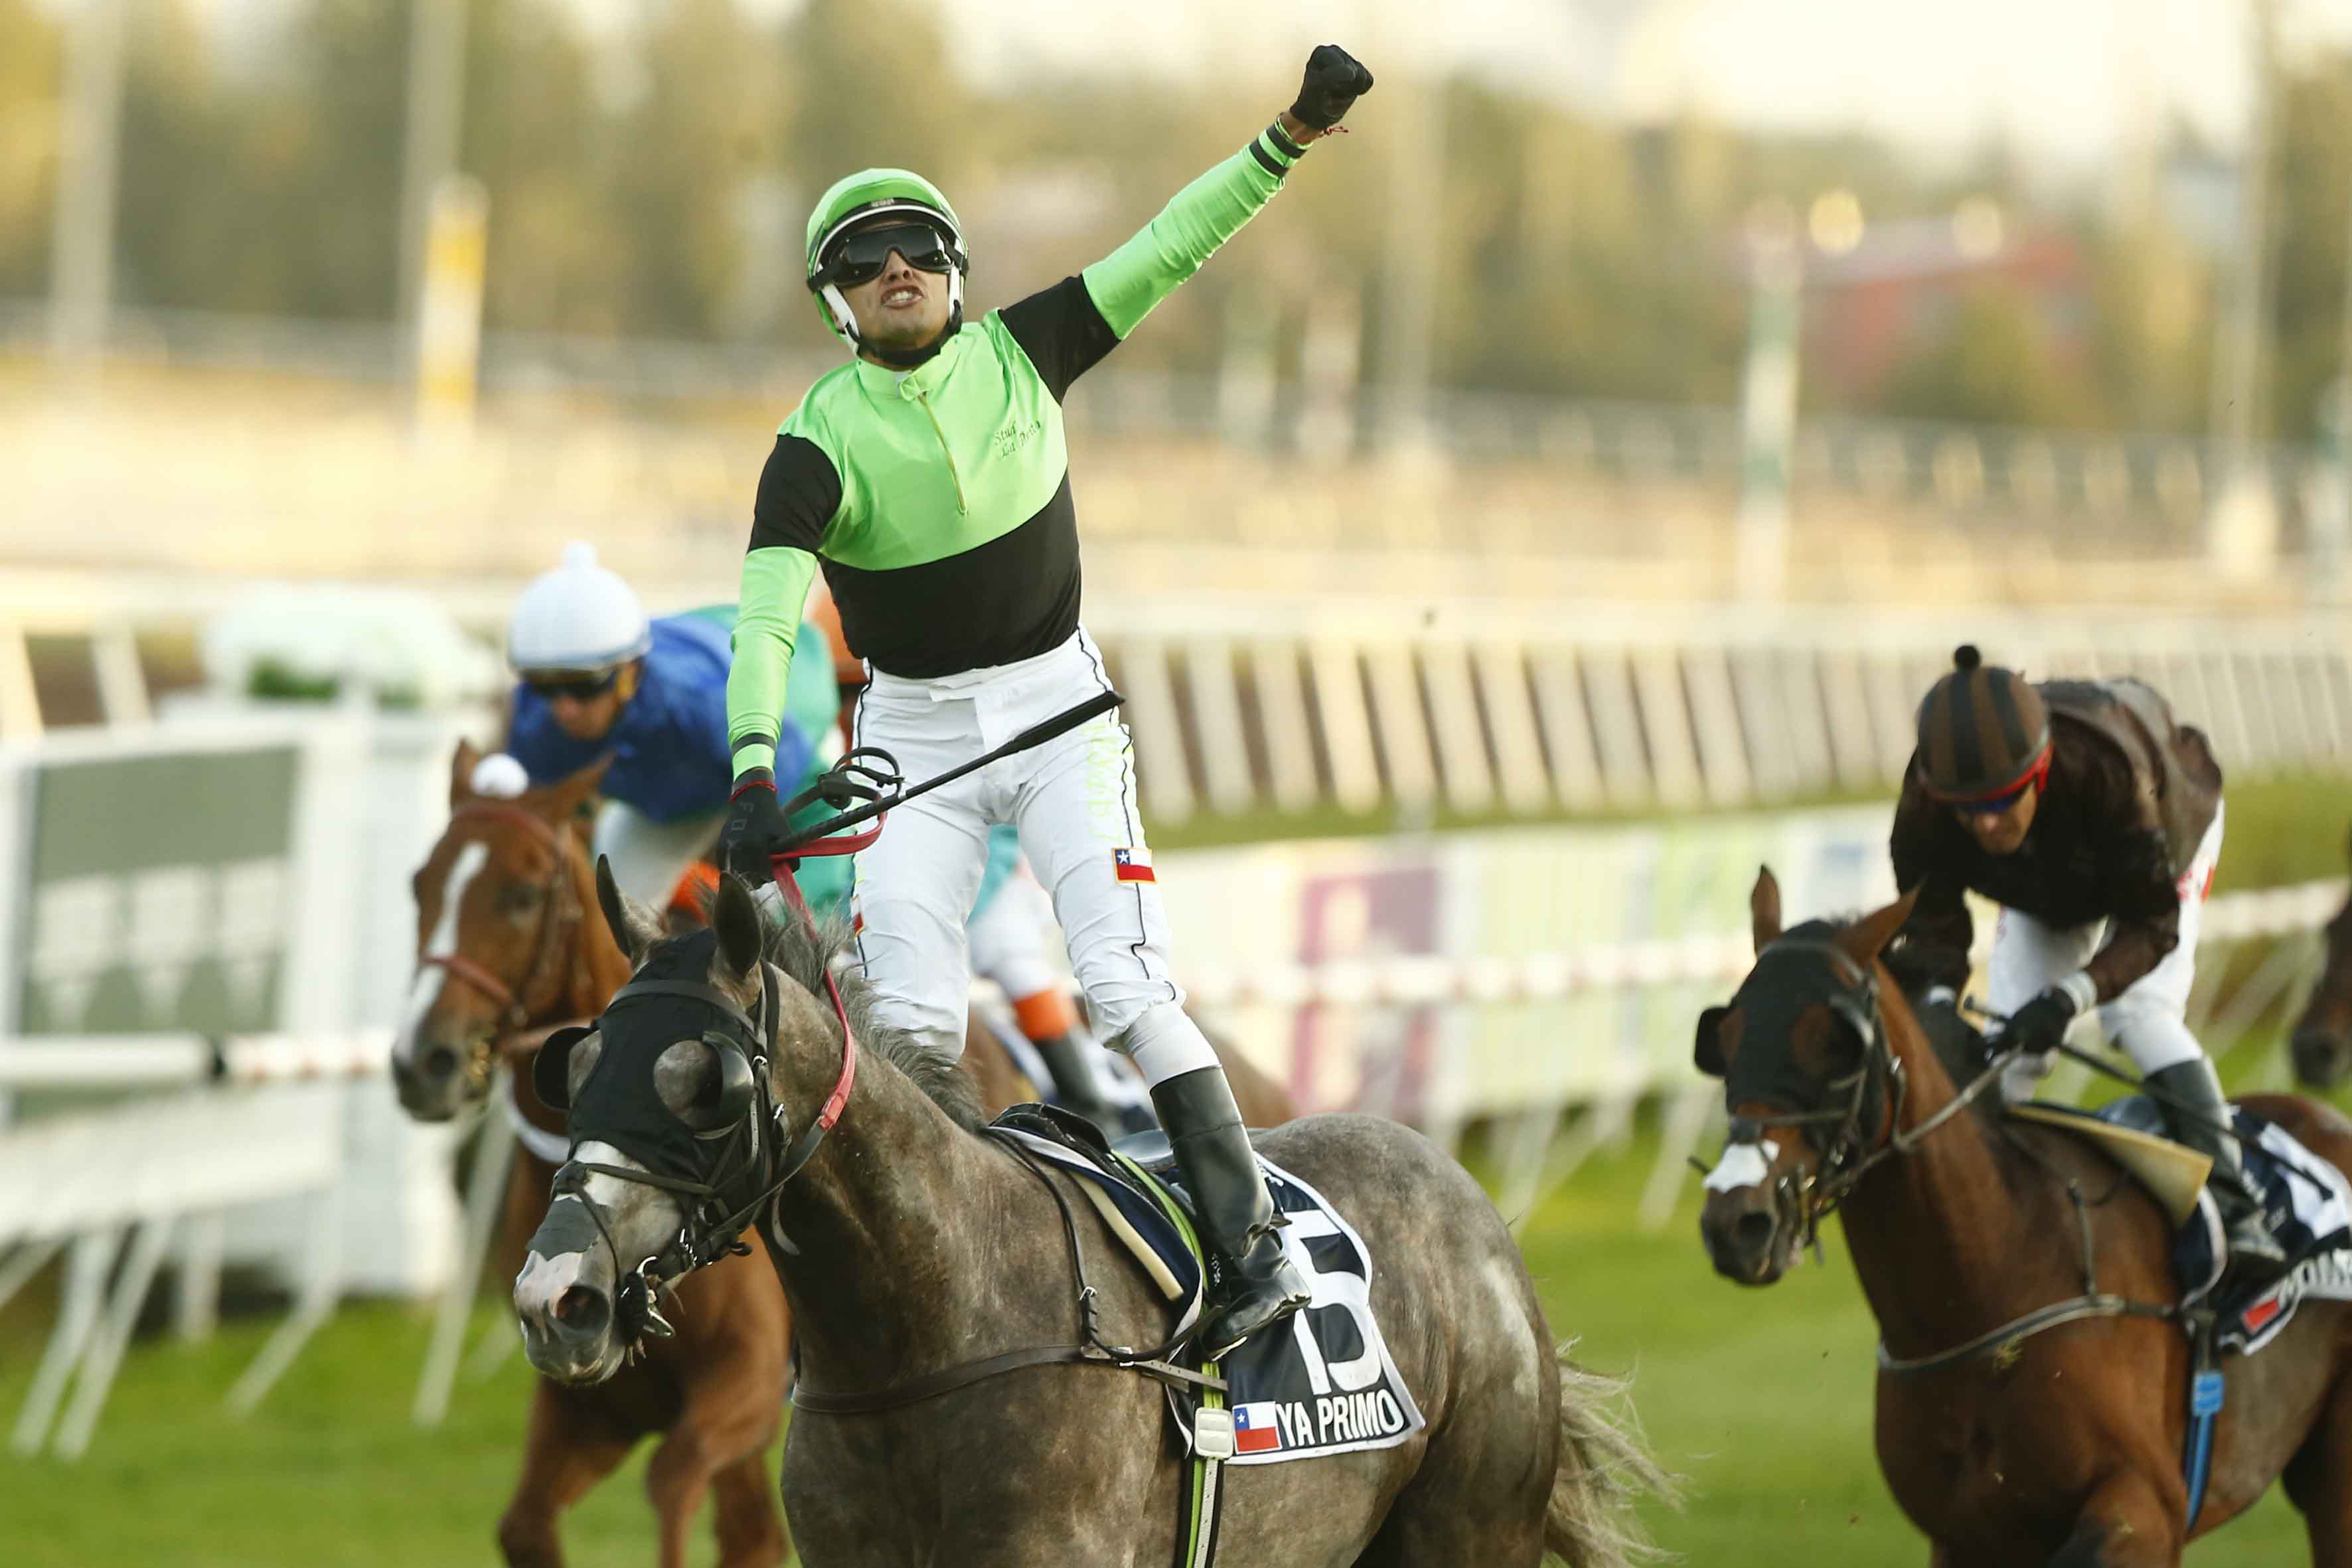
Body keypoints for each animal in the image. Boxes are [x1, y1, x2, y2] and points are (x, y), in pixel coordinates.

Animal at [510, 870, 1674, 1568]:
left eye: (700, 1081)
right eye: (577, 1061)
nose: (554, 1296)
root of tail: (1457, 1184)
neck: (928, 1321)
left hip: (1471, 1524)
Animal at [1703, 870, 2352, 1568]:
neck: (1987, 1286)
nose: (1736, 1220)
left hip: (2334, 1480)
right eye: (1725, 1037)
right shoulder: (1960, 1536)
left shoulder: (2148, 1507)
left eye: (1835, 1040)